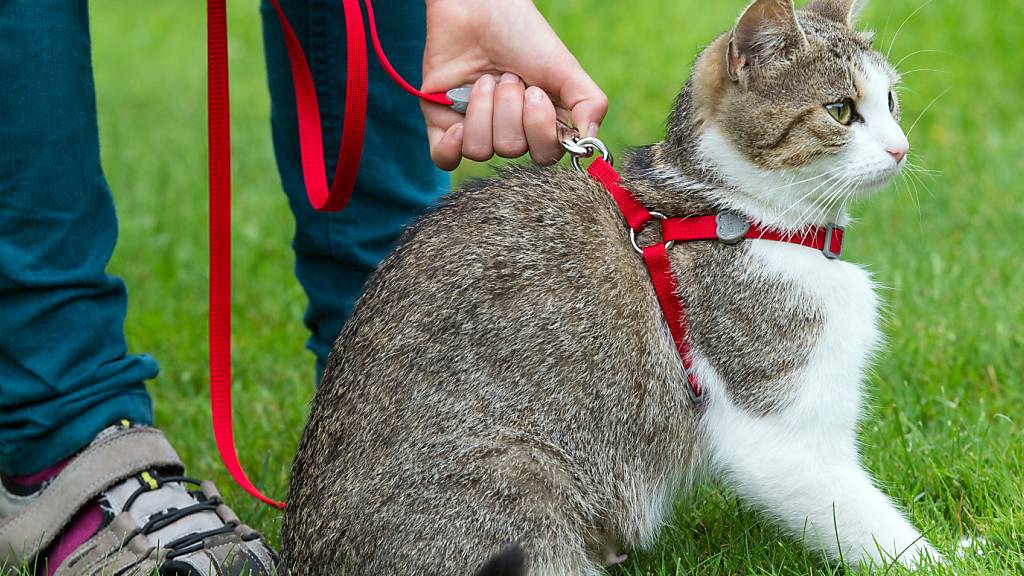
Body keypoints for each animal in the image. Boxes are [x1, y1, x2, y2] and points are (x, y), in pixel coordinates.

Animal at [278, 0, 937, 569]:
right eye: (841, 110)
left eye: (891, 101)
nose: (901, 148)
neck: (738, 214)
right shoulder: (779, 429)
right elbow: (859, 516)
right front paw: (940, 558)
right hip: (520, 487)